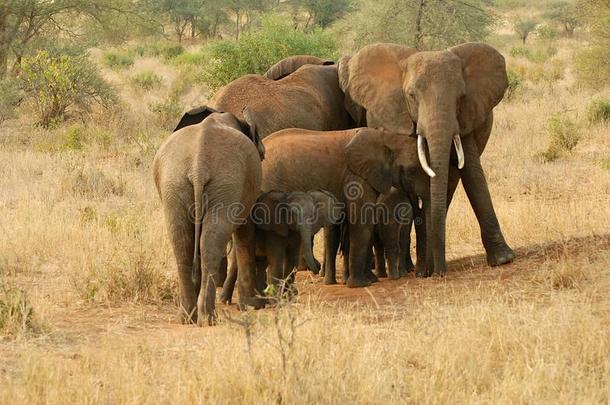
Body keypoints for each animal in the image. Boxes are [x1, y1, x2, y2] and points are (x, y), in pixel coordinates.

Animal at [152, 105, 264, 326]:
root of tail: (198, 165)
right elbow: (245, 231)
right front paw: (253, 304)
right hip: (223, 183)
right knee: (210, 241)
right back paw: (207, 318)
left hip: (176, 183)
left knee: (183, 242)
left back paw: (188, 317)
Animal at [262, 126, 414, 288]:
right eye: (411, 170)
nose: (315, 270)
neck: (385, 136)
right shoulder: (356, 179)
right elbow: (361, 223)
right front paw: (361, 284)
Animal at [338, 41, 512, 274]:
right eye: (411, 95)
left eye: (461, 97)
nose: (439, 272)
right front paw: (424, 269)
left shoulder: (465, 118)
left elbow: (472, 174)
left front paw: (503, 259)